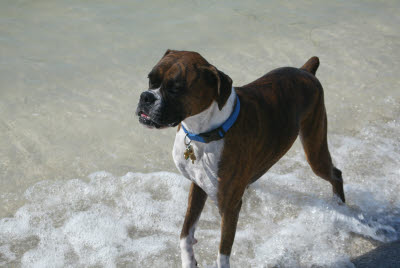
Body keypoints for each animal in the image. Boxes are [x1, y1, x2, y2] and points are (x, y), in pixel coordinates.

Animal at [136, 49, 346, 266]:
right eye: (150, 80)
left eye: (175, 88)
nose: (146, 97)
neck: (203, 133)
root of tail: (306, 71)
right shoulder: (198, 187)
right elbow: (185, 235)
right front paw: (188, 261)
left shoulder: (229, 208)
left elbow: (222, 254)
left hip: (315, 150)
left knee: (336, 174)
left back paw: (339, 206)